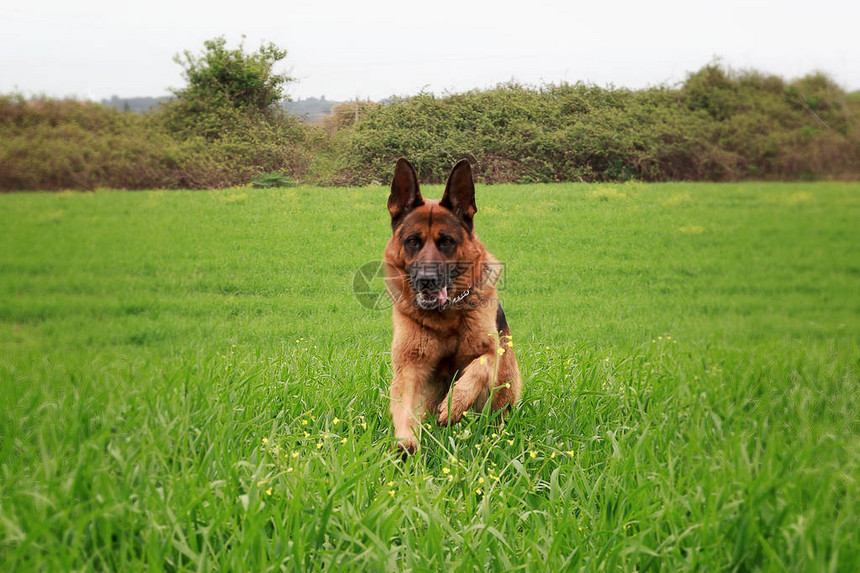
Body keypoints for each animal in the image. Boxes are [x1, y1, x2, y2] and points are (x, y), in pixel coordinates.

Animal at [386, 159, 520, 454]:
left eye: (447, 241)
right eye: (412, 241)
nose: (426, 280)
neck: (445, 317)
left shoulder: (491, 352)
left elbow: (477, 367)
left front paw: (453, 405)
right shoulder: (410, 367)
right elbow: (404, 408)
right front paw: (405, 442)